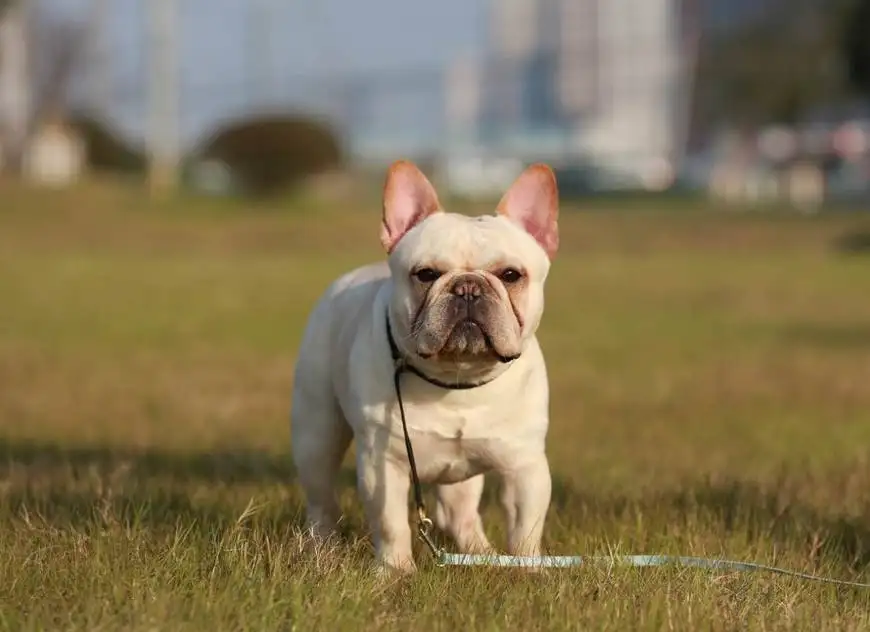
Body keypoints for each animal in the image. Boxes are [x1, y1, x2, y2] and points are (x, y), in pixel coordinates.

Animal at [290, 159, 564, 572]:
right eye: (426, 274)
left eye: (511, 275)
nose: (467, 288)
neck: (457, 379)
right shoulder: (384, 464)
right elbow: (391, 524)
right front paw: (396, 571)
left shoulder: (526, 467)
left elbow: (525, 528)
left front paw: (528, 571)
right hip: (317, 433)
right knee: (321, 498)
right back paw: (323, 548)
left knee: (459, 513)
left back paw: (479, 553)